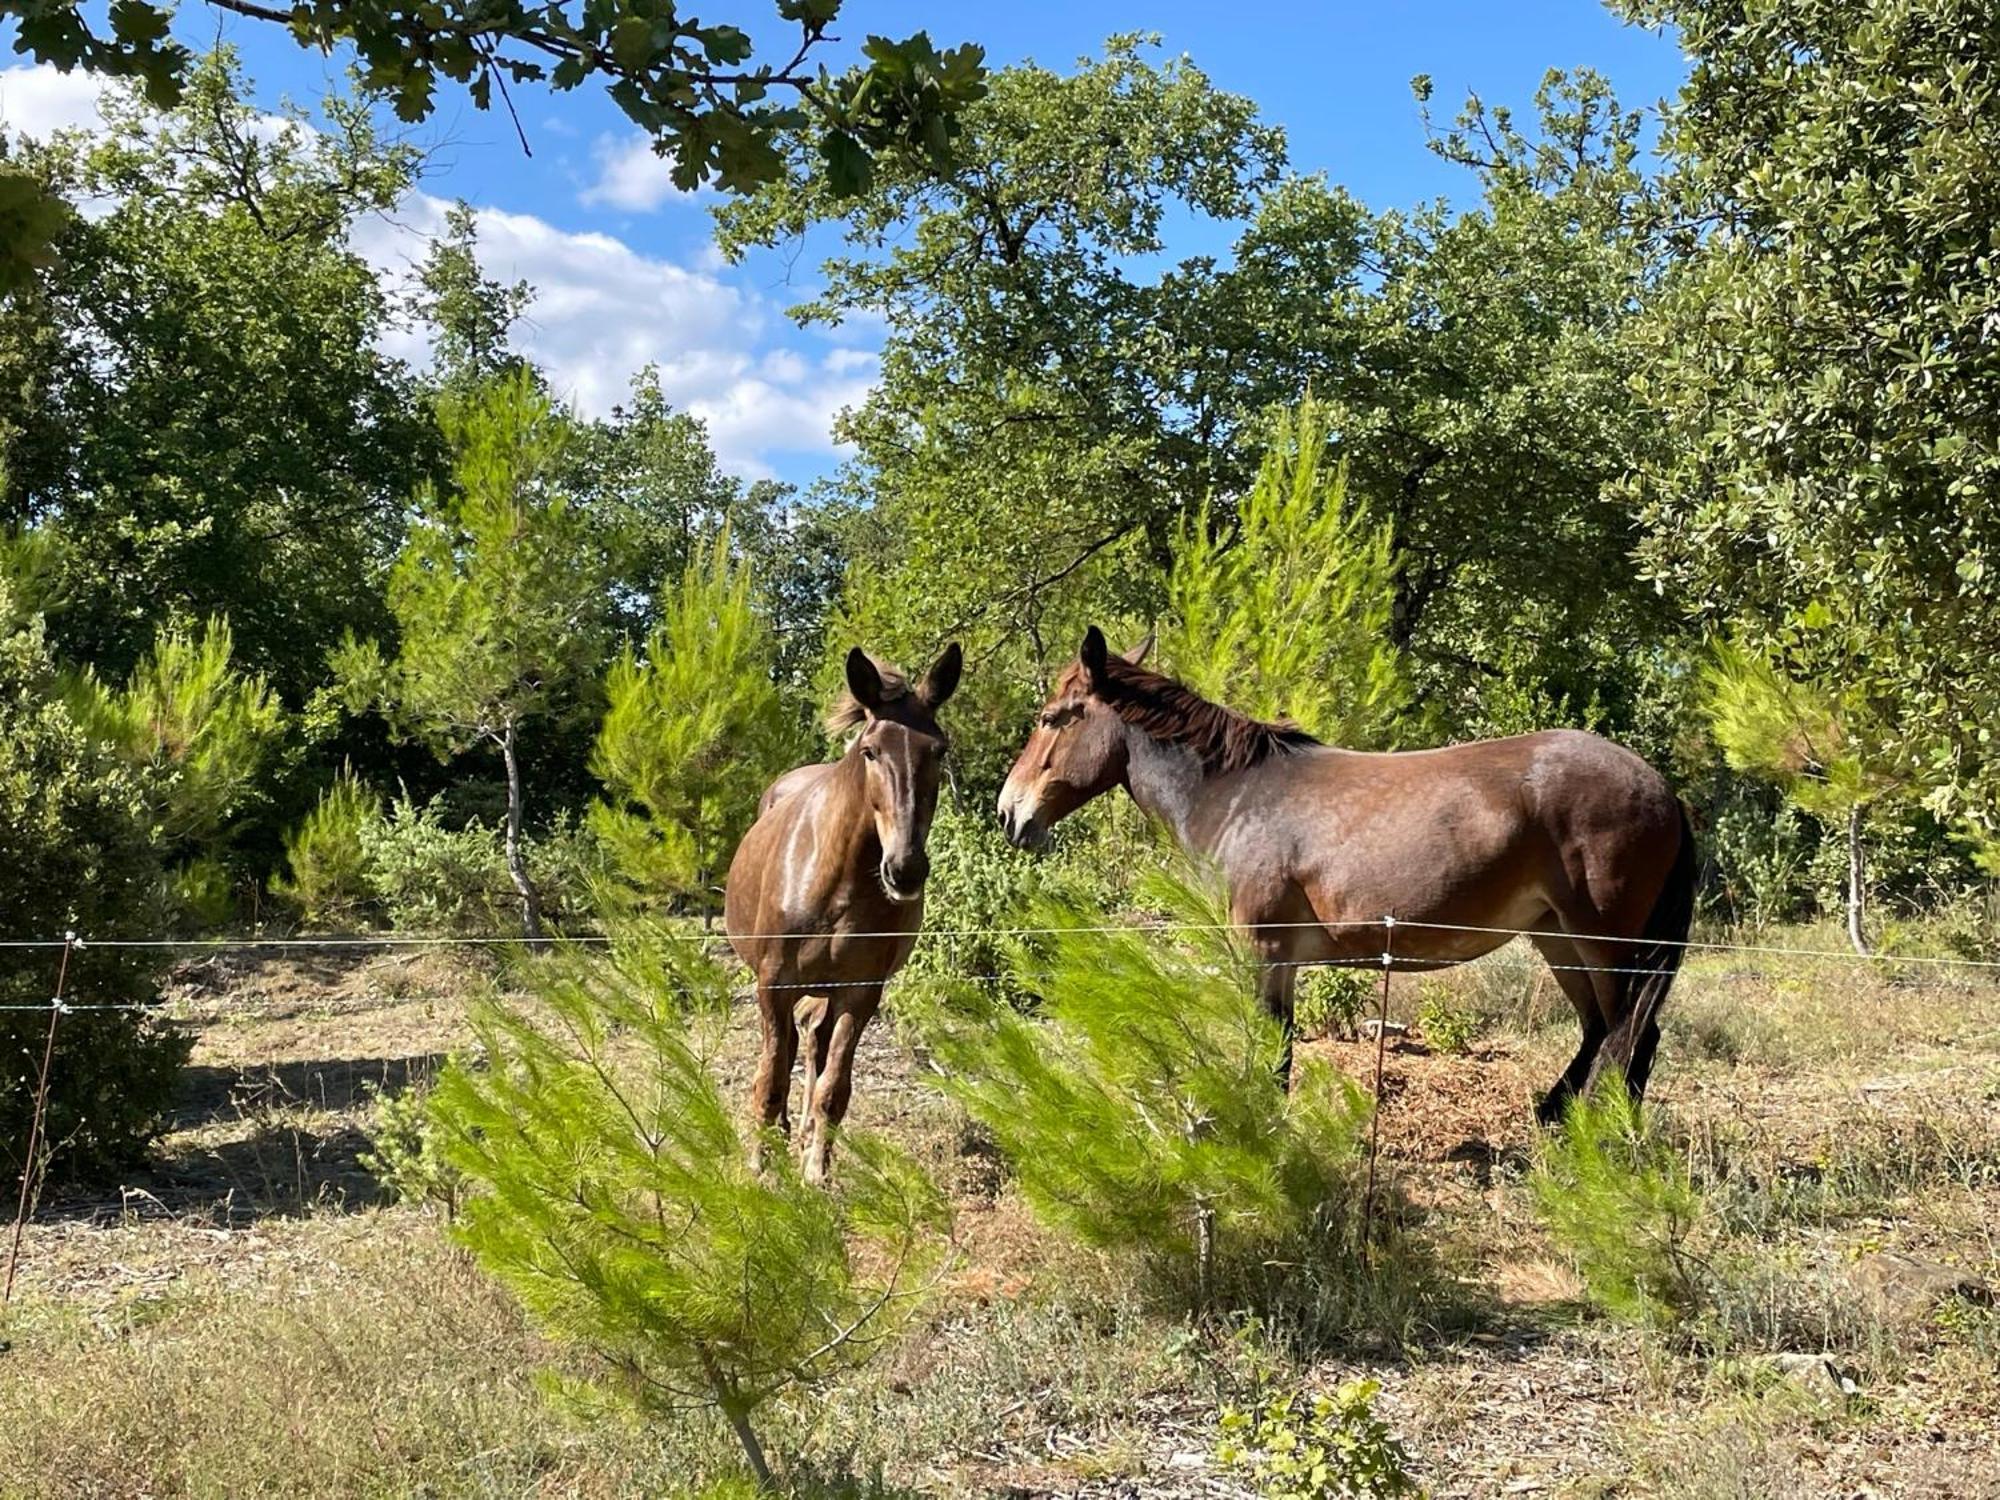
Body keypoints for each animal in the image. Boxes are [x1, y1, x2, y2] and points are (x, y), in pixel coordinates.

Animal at [728, 648, 960, 1184]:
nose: (905, 868)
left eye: (938, 750)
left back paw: (804, 1135)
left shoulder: (860, 991)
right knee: (792, 1046)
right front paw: (759, 1164)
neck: (836, 880)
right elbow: (771, 1077)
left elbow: (834, 1086)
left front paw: (817, 1171)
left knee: (814, 1041)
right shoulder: (772, 983)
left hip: (828, 989)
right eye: (870, 751)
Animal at [996, 628, 1688, 1120]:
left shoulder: (1266, 951)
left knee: (1631, 1037)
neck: (1240, 795)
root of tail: (1661, 788)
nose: (1009, 812)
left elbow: (1273, 1049)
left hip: (1606, 944)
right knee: (1604, 1033)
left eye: (1054, 717)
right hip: (1558, 938)